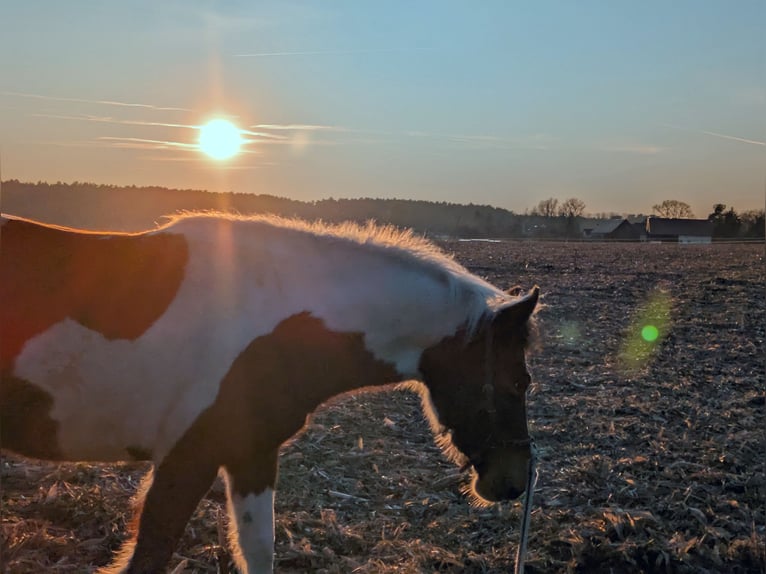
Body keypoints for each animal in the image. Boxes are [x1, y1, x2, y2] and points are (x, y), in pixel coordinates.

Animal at [0, 212, 540, 574]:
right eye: (520, 381)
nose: (514, 481)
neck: (277, 325)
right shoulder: (186, 458)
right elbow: (150, 553)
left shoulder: (250, 455)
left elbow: (258, 549)